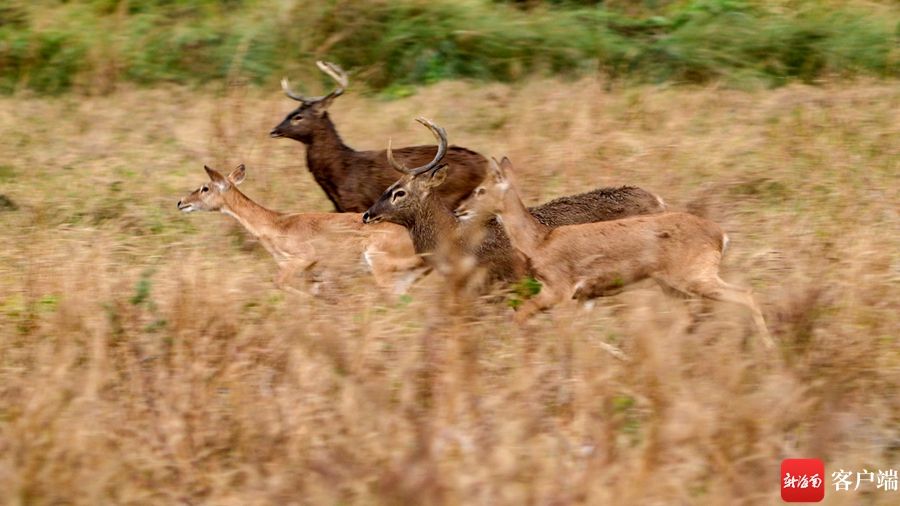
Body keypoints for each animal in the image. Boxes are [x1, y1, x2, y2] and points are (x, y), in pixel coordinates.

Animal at [179, 162, 428, 296]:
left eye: (205, 188)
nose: (181, 202)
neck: (276, 224)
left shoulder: (302, 260)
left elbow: (281, 284)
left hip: (381, 266)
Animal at [270, 60, 488, 211]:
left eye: (298, 116)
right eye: (291, 112)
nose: (274, 130)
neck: (340, 172)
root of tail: (484, 163)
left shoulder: (356, 203)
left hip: (451, 197)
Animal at [464, 157, 772, 348]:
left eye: (481, 190)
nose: (460, 210)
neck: (539, 241)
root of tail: (722, 236)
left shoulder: (559, 289)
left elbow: (522, 316)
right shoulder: (586, 295)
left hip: (693, 275)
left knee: (746, 294)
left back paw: (767, 347)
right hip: (672, 282)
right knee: (688, 316)